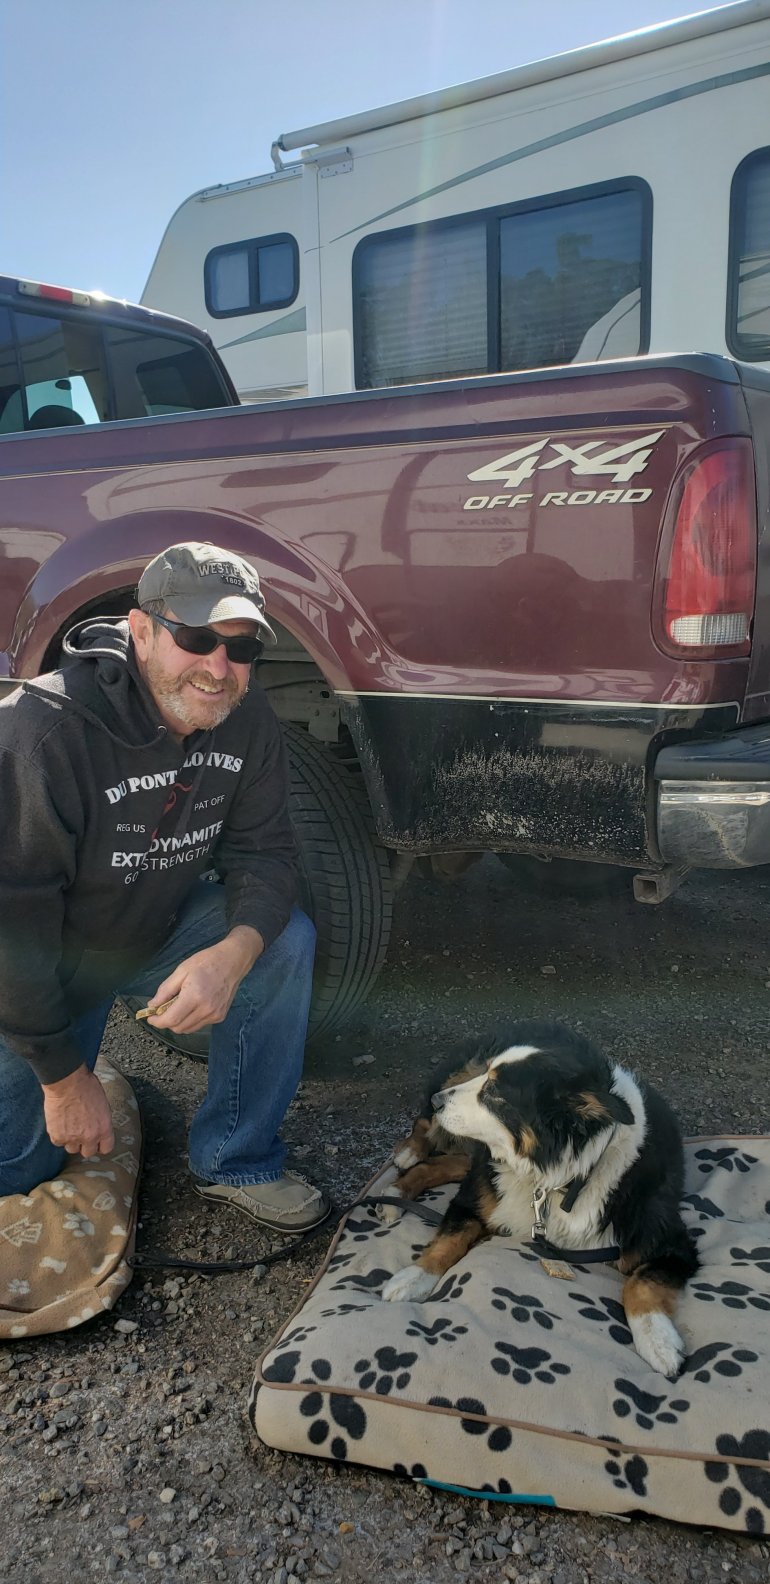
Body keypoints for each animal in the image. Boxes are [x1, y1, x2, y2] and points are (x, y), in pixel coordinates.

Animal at [381, 1020, 699, 1379]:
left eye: (494, 1092)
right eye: (487, 1076)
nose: (438, 1101)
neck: (560, 1178)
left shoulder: (671, 1242)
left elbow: (642, 1282)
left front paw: (658, 1341)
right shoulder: (474, 1196)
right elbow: (448, 1239)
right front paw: (412, 1277)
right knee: (424, 1128)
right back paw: (404, 1165)